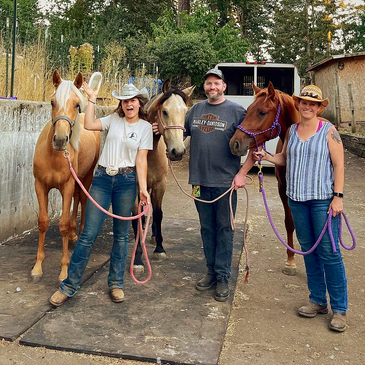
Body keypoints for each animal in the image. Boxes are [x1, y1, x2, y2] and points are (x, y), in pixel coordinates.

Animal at [31, 71, 100, 282]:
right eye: (52, 102)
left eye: (77, 104)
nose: (61, 140)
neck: (54, 157)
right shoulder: (40, 185)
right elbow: (43, 221)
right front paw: (37, 267)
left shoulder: (67, 186)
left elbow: (61, 224)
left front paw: (63, 271)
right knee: (77, 199)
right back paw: (72, 234)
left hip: (86, 176)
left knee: (83, 199)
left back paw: (79, 232)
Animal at [229, 80, 300, 272]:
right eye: (248, 110)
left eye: (262, 112)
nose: (234, 143)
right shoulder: (283, 188)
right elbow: (290, 223)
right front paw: (291, 260)